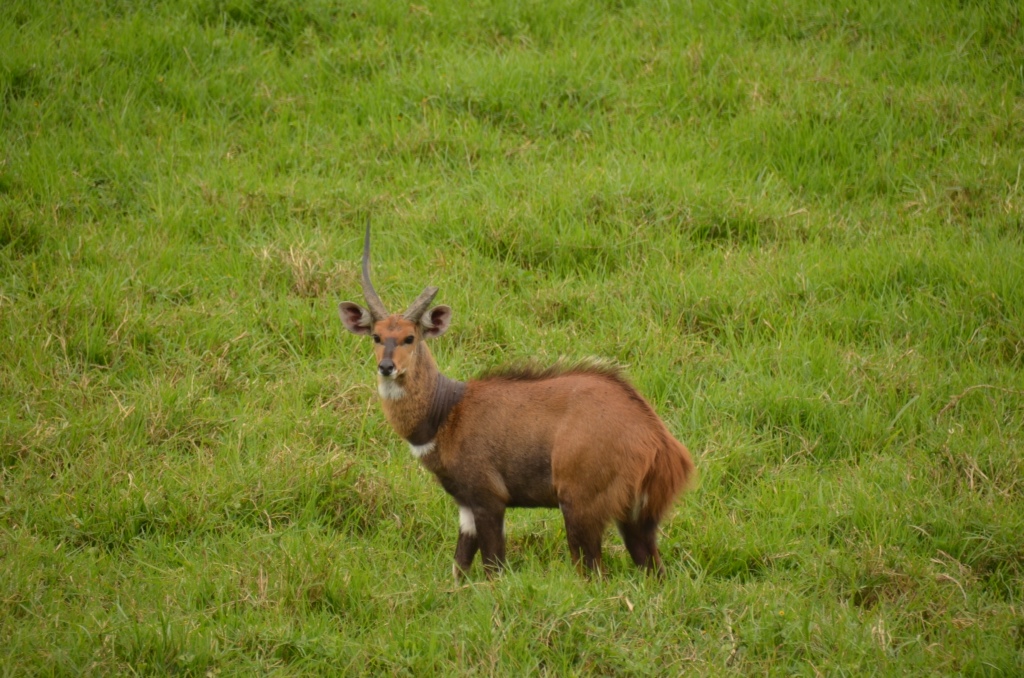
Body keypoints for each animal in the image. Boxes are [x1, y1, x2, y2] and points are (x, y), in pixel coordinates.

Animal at [338, 220, 695, 578]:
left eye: (410, 337)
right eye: (376, 336)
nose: (386, 367)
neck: (447, 412)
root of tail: (659, 441)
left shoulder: (488, 498)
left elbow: (493, 568)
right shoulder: (465, 505)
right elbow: (459, 568)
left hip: (580, 506)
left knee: (593, 574)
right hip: (637, 520)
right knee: (654, 571)